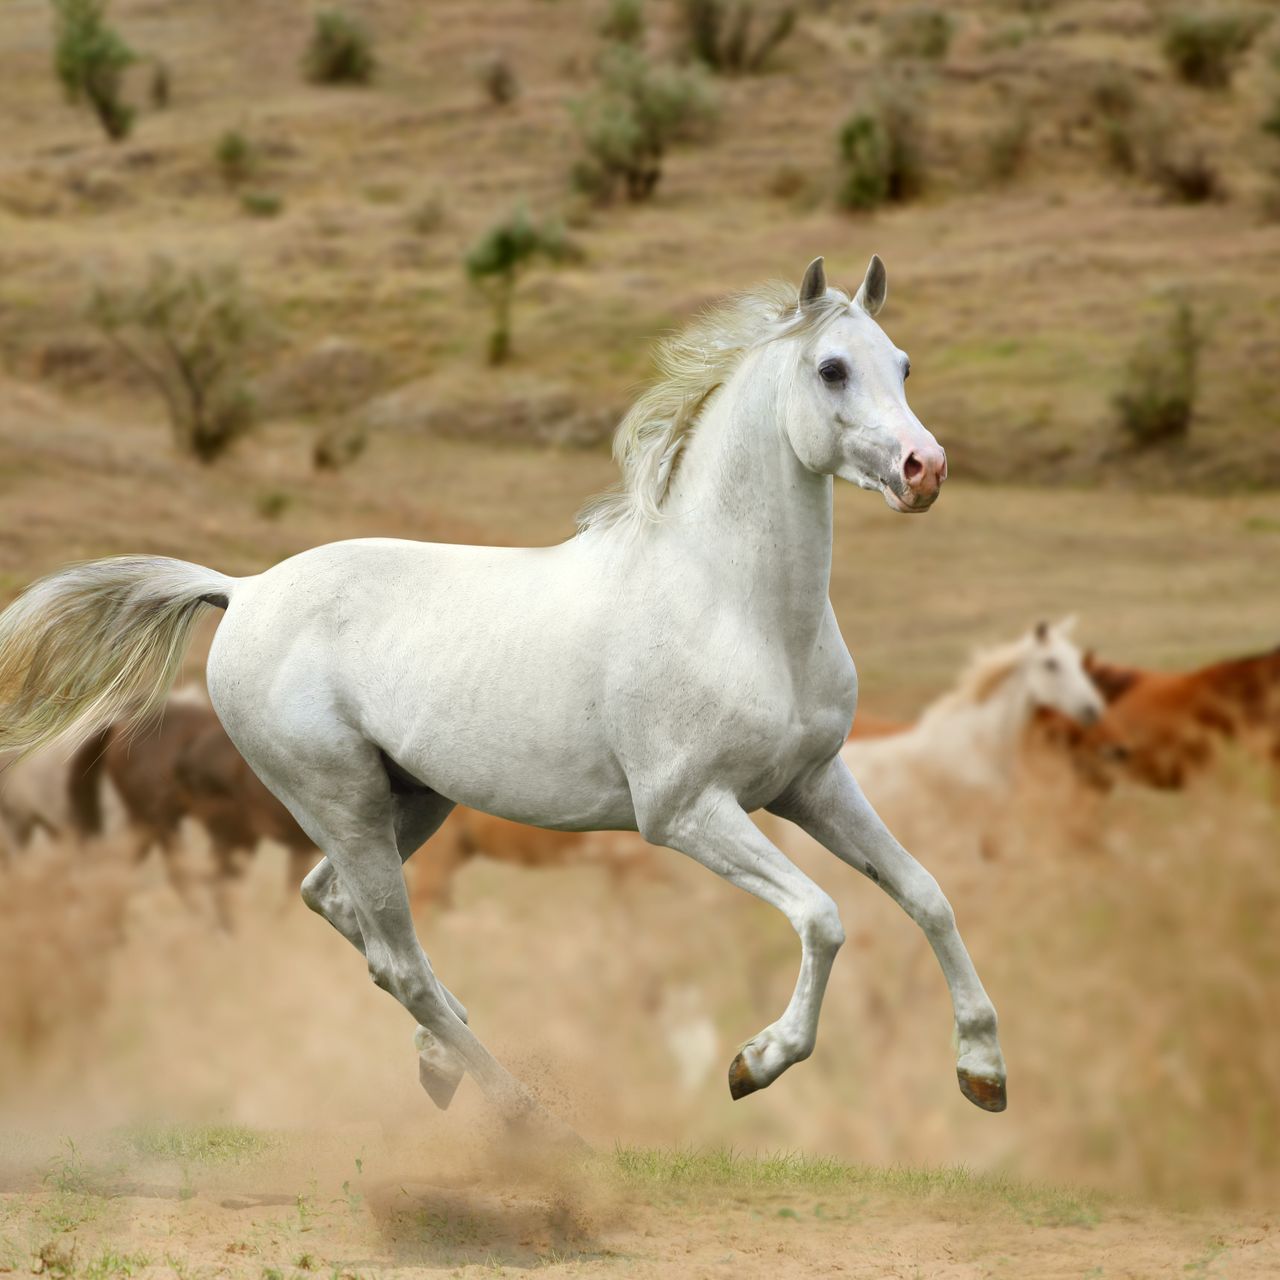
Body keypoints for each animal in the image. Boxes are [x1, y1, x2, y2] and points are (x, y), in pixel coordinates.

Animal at [0, 255, 1008, 1123]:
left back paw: (445, 1053)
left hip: (410, 800)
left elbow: (925, 893)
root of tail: (242, 590)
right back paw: (519, 1113)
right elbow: (824, 916)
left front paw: (983, 1071)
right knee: (395, 956)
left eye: (903, 364)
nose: (925, 470)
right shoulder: (687, 811)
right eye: (832, 369)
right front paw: (755, 1063)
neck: (737, 607)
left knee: (346, 915)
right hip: (342, 800)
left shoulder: (812, 784)